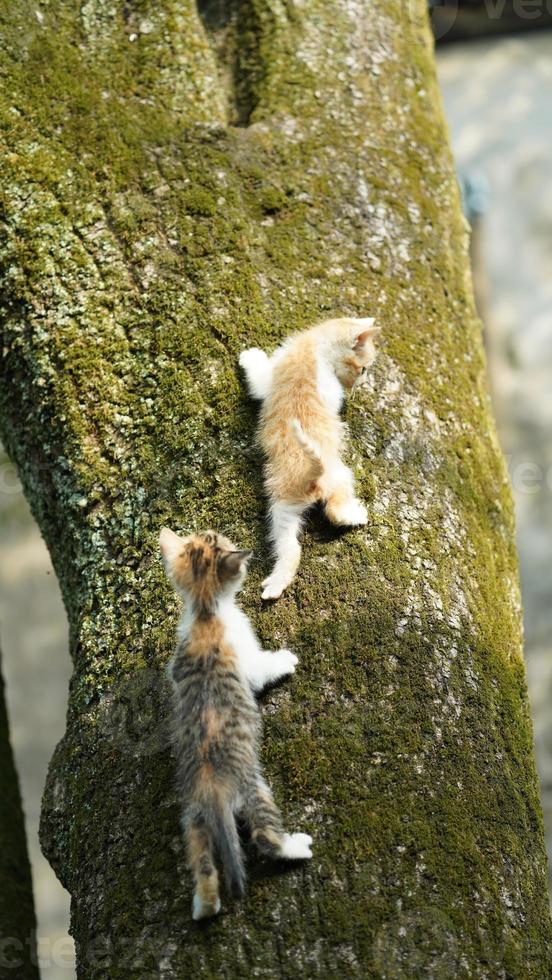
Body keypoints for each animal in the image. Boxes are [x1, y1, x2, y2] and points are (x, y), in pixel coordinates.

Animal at [162, 528, 312, 920]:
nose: (221, 532)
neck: (204, 613)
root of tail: (211, 788)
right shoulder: (245, 655)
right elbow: (261, 670)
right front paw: (284, 660)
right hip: (254, 788)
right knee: (264, 836)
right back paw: (294, 846)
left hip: (194, 818)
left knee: (202, 863)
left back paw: (205, 905)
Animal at [239, 318, 382, 600]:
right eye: (363, 369)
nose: (358, 385)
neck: (314, 346)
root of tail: (311, 474)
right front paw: (250, 355)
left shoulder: (271, 377)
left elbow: (258, 379)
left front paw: (248, 356)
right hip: (318, 486)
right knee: (321, 522)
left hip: (291, 499)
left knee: (303, 538)